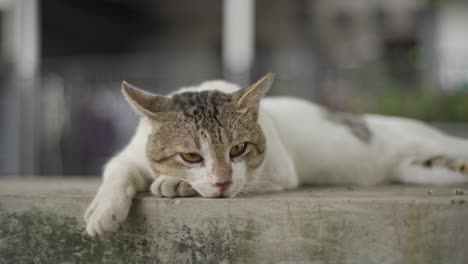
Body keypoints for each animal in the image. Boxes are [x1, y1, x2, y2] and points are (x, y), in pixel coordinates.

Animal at [84, 73, 468, 236]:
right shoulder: (129, 155)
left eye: (238, 149)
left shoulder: (278, 170)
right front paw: (103, 211)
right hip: (422, 168)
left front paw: (172, 183)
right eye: (191, 156)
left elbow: (240, 180)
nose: (221, 182)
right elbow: (116, 172)